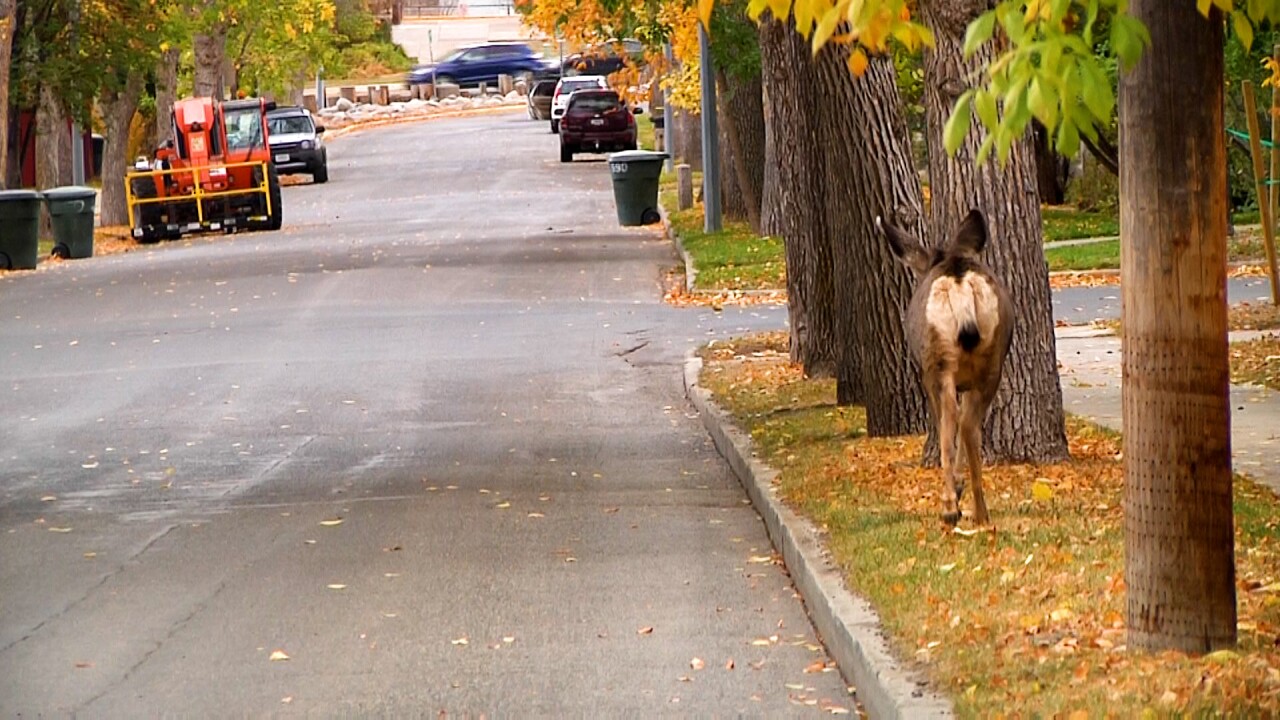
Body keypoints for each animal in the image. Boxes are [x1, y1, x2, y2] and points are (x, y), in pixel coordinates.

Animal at [875, 207, 1013, 520]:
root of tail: (959, 279)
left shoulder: (927, 377)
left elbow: (942, 425)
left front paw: (954, 495)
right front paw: (960, 487)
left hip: (937, 361)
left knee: (953, 419)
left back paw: (952, 508)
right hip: (992, 359)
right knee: (968, 423)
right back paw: (979, 511)